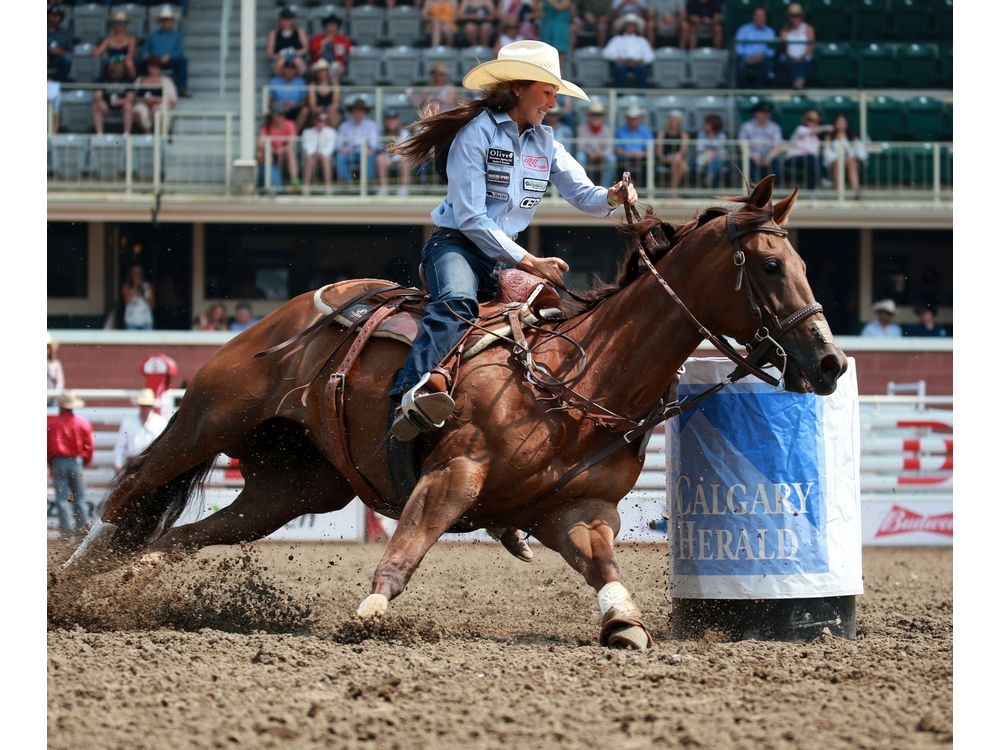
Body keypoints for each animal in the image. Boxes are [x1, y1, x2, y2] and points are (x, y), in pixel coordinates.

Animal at [64, 179, 844, 648]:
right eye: (769, 266)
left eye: (809, 265)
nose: (831, 363)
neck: (577, 373)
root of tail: (294, 313)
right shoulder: (455, 471)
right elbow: (407, 547)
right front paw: (371, 614)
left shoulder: (578, 510)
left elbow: (607, 573)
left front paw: (624, 625)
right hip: (209, 419)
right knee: (133, 490)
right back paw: (67, 578)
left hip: (292, 487)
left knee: (182, 535)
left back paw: (126, 581)